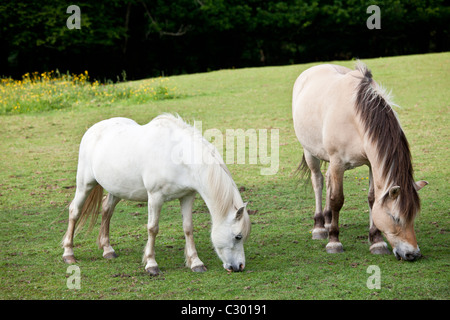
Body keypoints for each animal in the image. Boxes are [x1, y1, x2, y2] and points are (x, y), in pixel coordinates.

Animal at [61, 114, 251, 276]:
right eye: (238, 236)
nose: (239, 266)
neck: (178, 156)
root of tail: (93, 130)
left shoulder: (187, 196)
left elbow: (188, 228)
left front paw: (196, 263)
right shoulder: (155, 197)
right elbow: (153, 228)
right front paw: (151, 265)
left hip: (116, 189)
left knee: (107, 210)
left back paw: (108, 250)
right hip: (85, 184)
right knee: (74, 211)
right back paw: (69, 253)